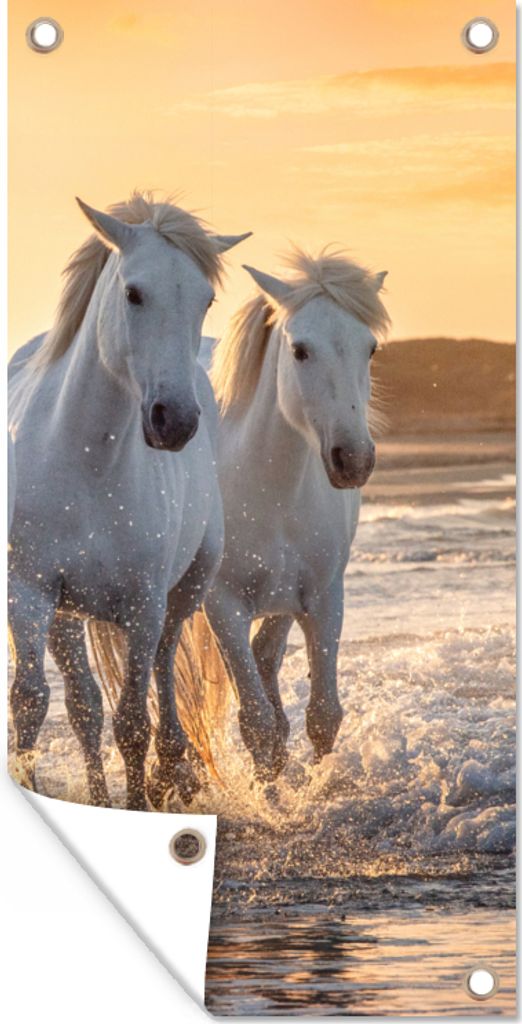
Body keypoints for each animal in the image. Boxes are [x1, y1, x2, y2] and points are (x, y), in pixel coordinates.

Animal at [8, 191, 250, 810]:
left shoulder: (143, 606)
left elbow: (133, 722)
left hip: (183, 593)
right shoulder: (29, 594)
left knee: (161, 676)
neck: (86, 463)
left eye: (205, 299)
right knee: (84, 709)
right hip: (66, 616)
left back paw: (171, 768)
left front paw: (143, 797)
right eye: (133, 293)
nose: (175, 421)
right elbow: (32, 706)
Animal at [195, 250, 390, 781]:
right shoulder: (223, 607)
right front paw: (273, 796)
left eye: (369, 349)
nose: (354, 460)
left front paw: (315, 788)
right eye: (300, 350)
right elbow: (257, 725)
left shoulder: (323, 597)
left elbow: (323, 715)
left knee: (266, 656)